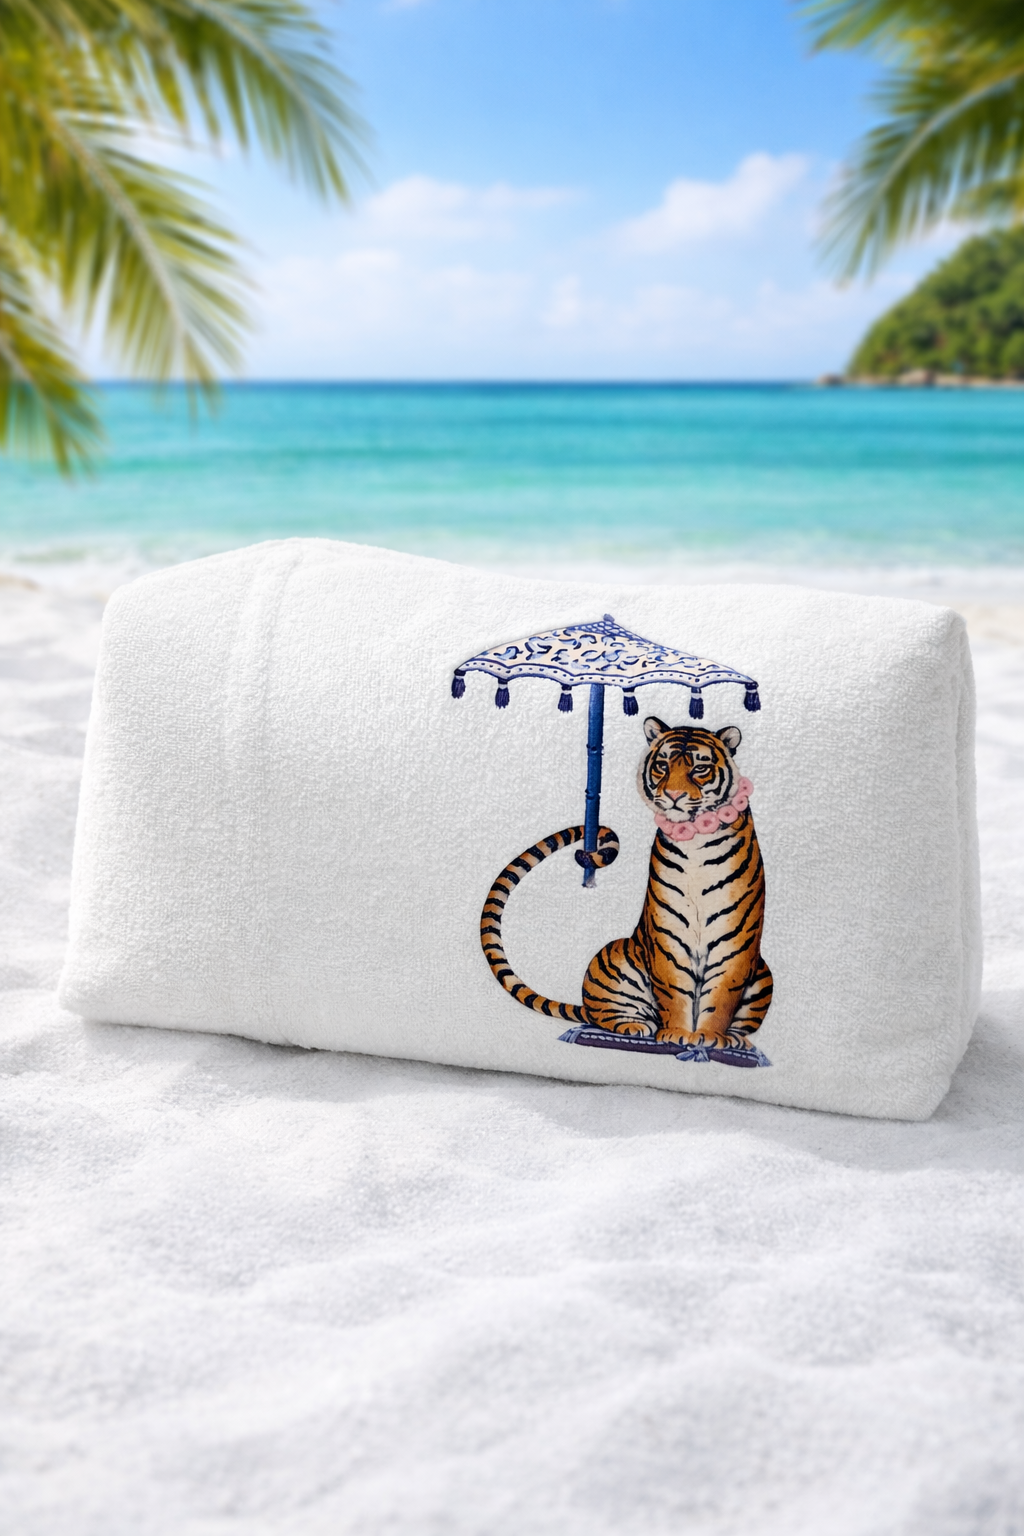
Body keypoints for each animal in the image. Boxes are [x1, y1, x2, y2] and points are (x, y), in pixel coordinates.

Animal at [479, 716, 772, 1055]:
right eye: (662, 765)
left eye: (700, 768)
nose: (674, 795)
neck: (694, 842)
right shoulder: (667, 935)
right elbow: (674, 989)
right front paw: (677, 1033)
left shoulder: (735, 940)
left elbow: (722, 994)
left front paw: (709, 1036)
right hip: (612, 958)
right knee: (604, 1015)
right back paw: (636, 1027)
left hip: (763, 976)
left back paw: (736, 1039)